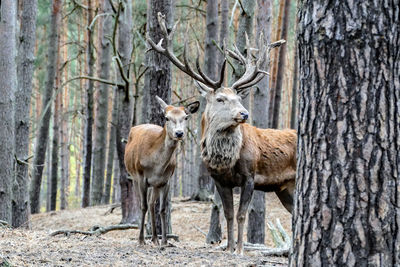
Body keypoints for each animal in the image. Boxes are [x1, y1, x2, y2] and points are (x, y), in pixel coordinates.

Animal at [124, 96, 199, 247]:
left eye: (186, 117)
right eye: (166, 118)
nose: (179, 133)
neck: (157, 164)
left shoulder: (166, 180)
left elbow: (163, 208)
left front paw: (164, 240)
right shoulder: (141, 176)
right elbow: (143, 206)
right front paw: (141, 240)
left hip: (155, 184)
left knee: (152, 204)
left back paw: (154, 238)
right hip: (134, 177)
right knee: (145, 203)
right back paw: (147, 237)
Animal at [148, 12, 296, 255]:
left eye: (239, 98)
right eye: (220, 99)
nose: (244, 113)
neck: (226, 160)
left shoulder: (250, 175)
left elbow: (242, 214)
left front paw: (240, 249)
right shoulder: (219, 180)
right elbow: (228, 213)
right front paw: (228, 247)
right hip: (284, 188)